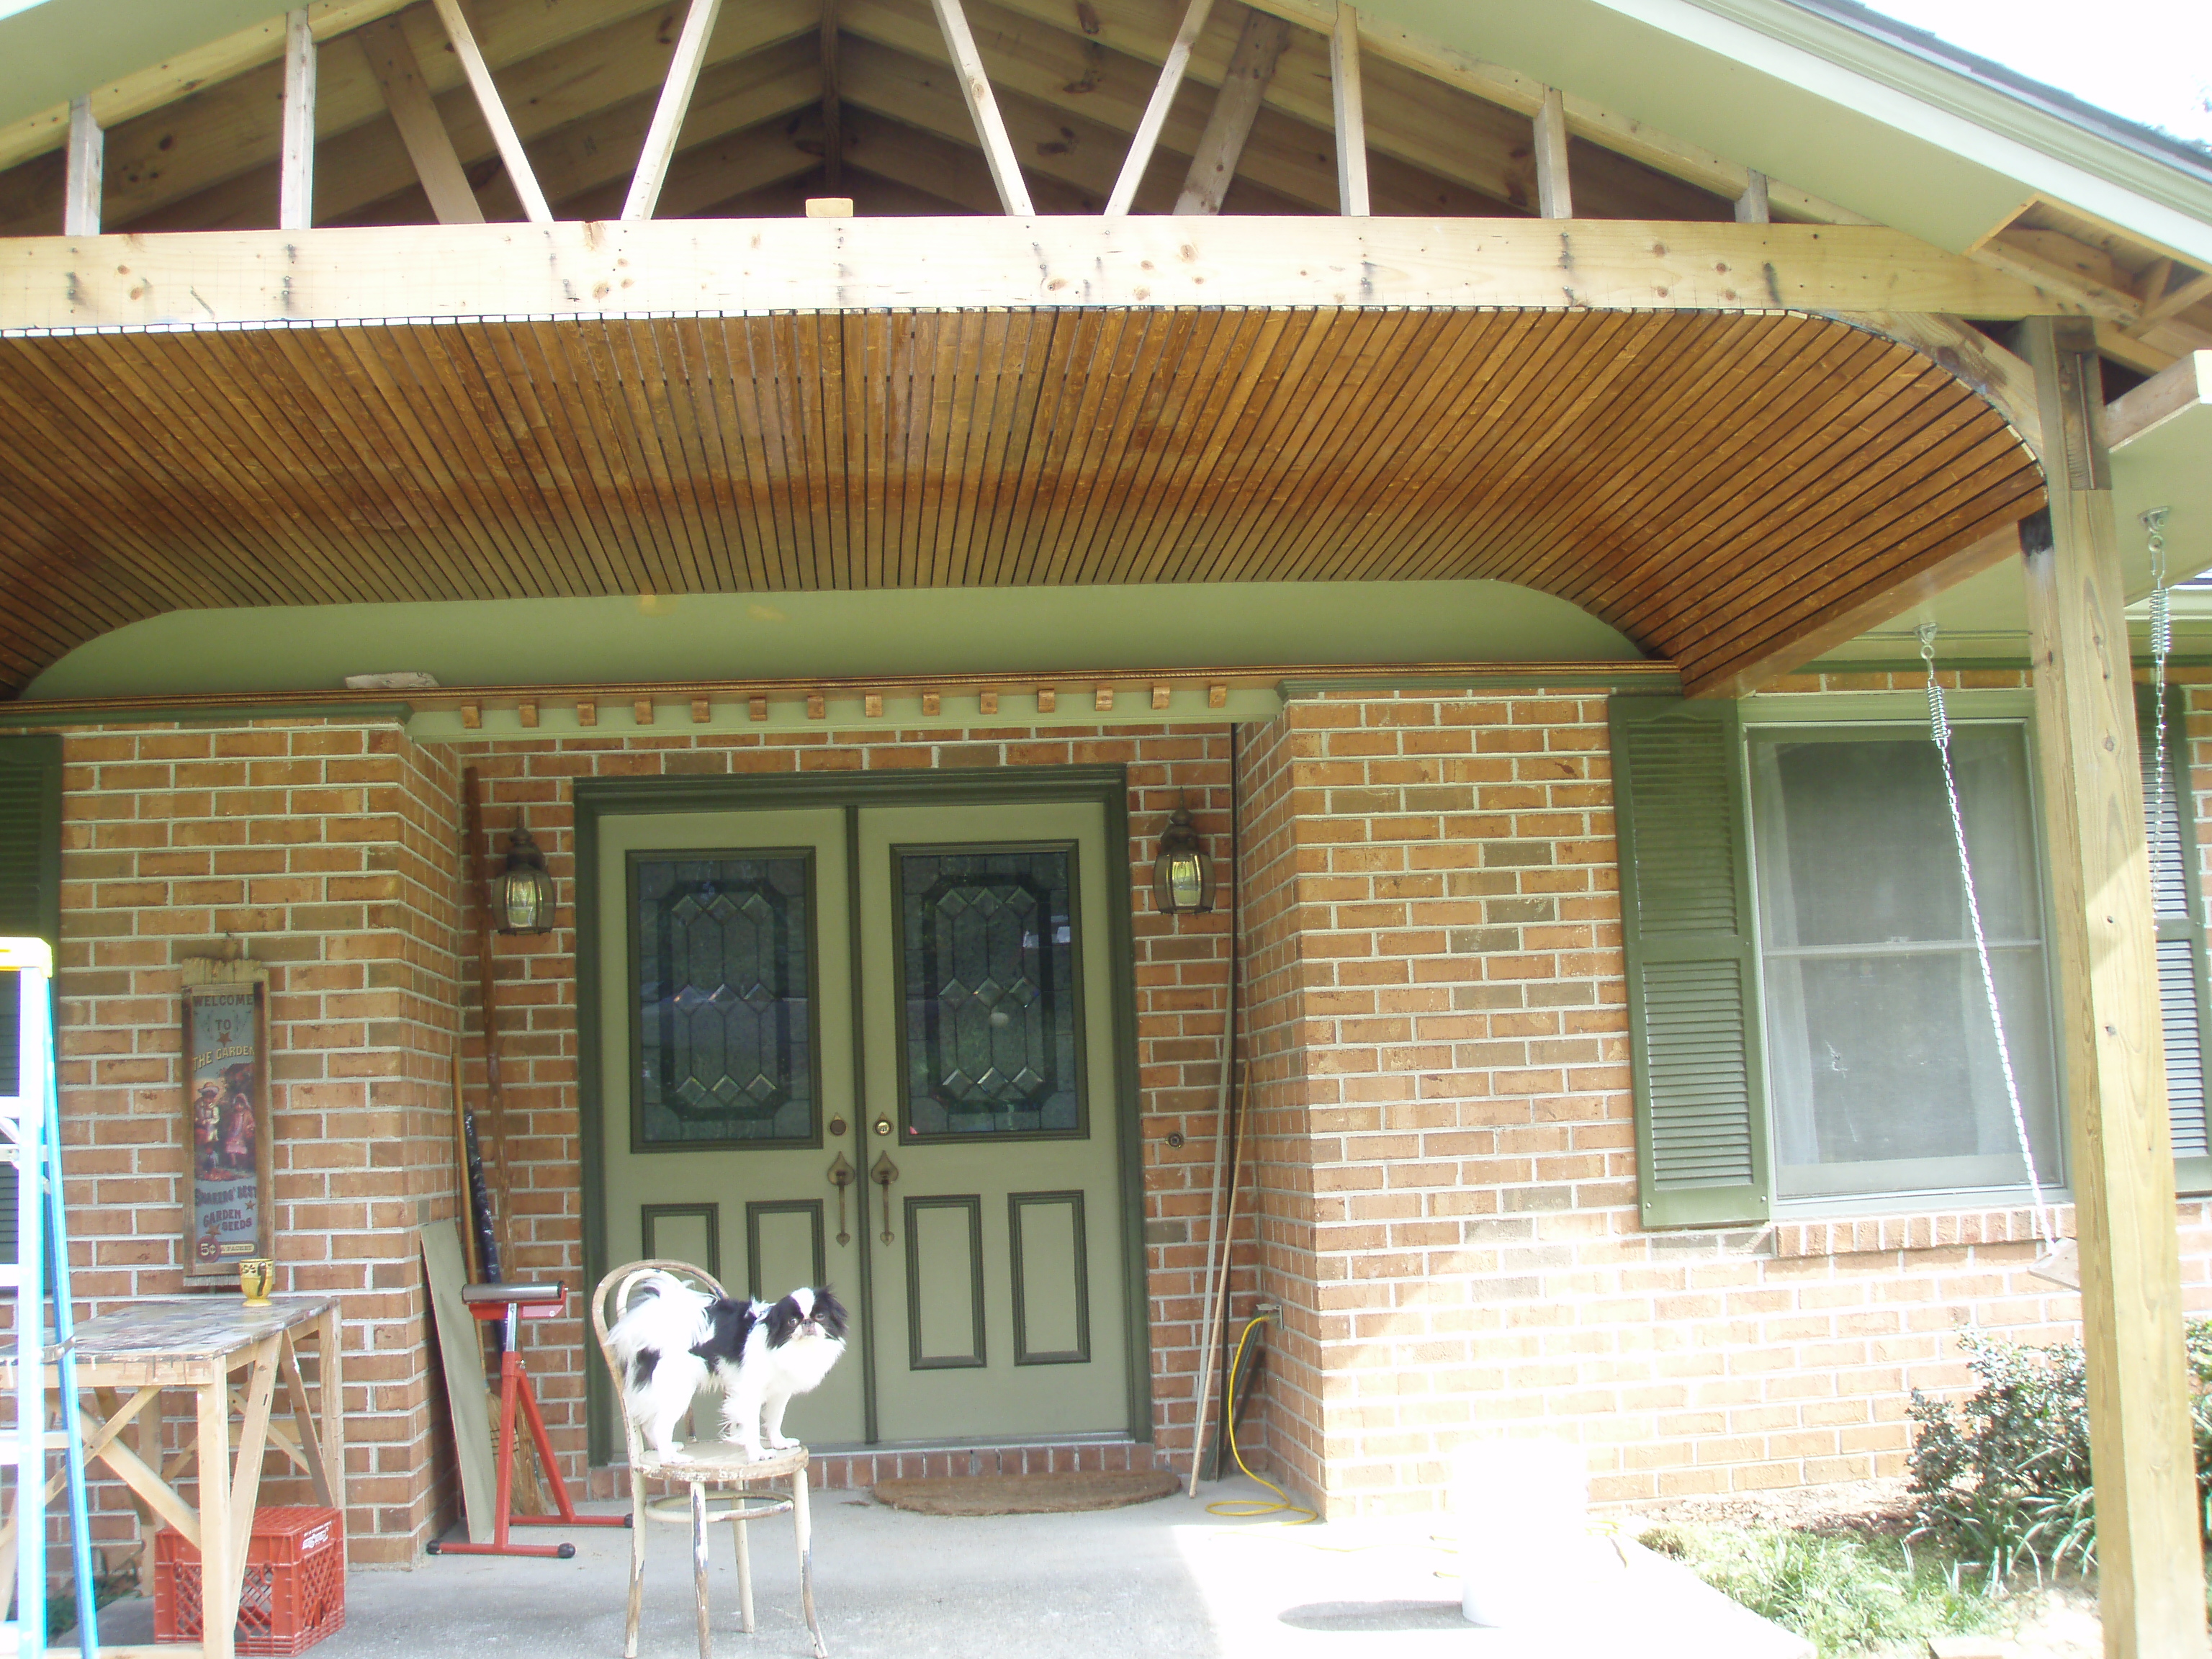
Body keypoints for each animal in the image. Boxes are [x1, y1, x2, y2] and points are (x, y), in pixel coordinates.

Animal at [610, 1282, 849, 1460]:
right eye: (792, 1322)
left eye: (820, 1317)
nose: (806, 1322)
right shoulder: (749, 1392)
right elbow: (752, 1425)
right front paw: (758, 1453)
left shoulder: (780, 1392)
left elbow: (774, 1419)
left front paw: (779, 1443)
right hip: (679, 1390)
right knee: (660, 1426)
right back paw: (671, 1458)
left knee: (650, 1424)